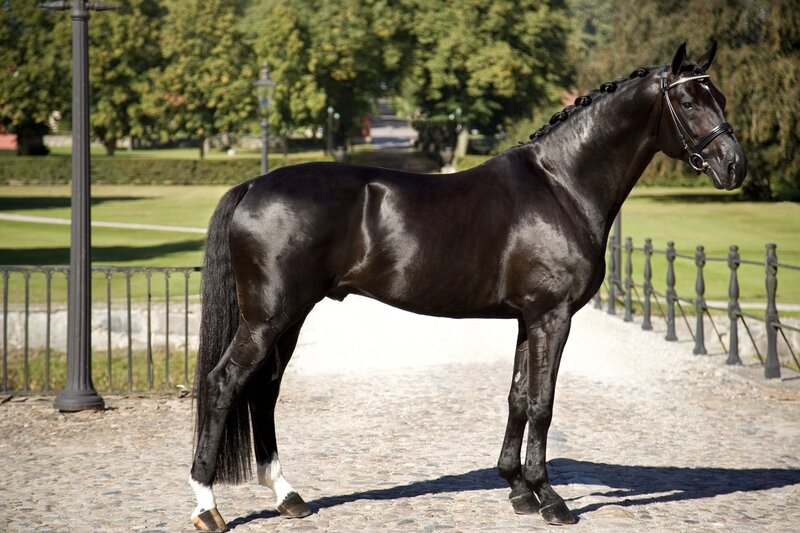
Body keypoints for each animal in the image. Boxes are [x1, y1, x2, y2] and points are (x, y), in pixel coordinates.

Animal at [188, 42, 746, 531]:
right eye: (689, 101)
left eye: (720, 95)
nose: (734, 166)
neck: (561, 185)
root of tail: (253, 184)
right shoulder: (552, 316)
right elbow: (543, 403)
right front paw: (552, 500)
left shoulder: (528, 317)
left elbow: (518, 397)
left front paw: (519, 490)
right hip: (269, 317)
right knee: (224, 384)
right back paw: (207, 506)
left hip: (290, 318)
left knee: (264, 390)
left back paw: (289, 497)